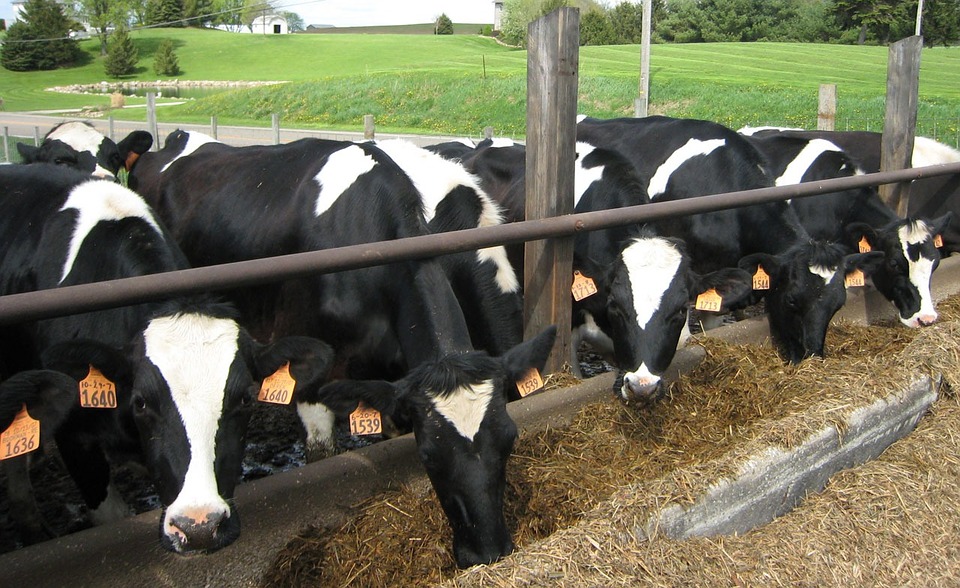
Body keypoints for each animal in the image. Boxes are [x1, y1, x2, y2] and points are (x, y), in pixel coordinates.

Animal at [124, 132, 552, 564]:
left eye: (510, 438)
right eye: (428, 454)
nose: (488, 551)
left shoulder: (397, 375)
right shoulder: (313, 374)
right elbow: (321, 451)